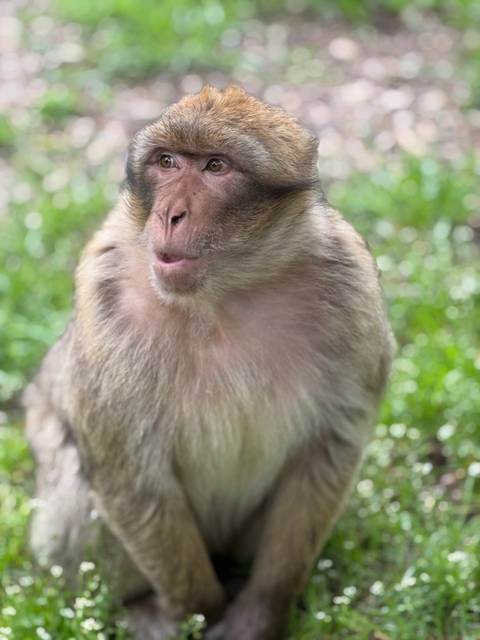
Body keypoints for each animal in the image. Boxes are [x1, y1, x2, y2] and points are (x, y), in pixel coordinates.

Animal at [23, 86, 394, 640]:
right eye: (168, 162)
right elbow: (129, 473)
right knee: (74, 477)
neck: (221, 294)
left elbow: (327, 450)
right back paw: (139, 607)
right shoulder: (101, 286)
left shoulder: (352, 285)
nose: (170, 214)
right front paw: (201, 614)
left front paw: (260, 613)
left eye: (216, 166)